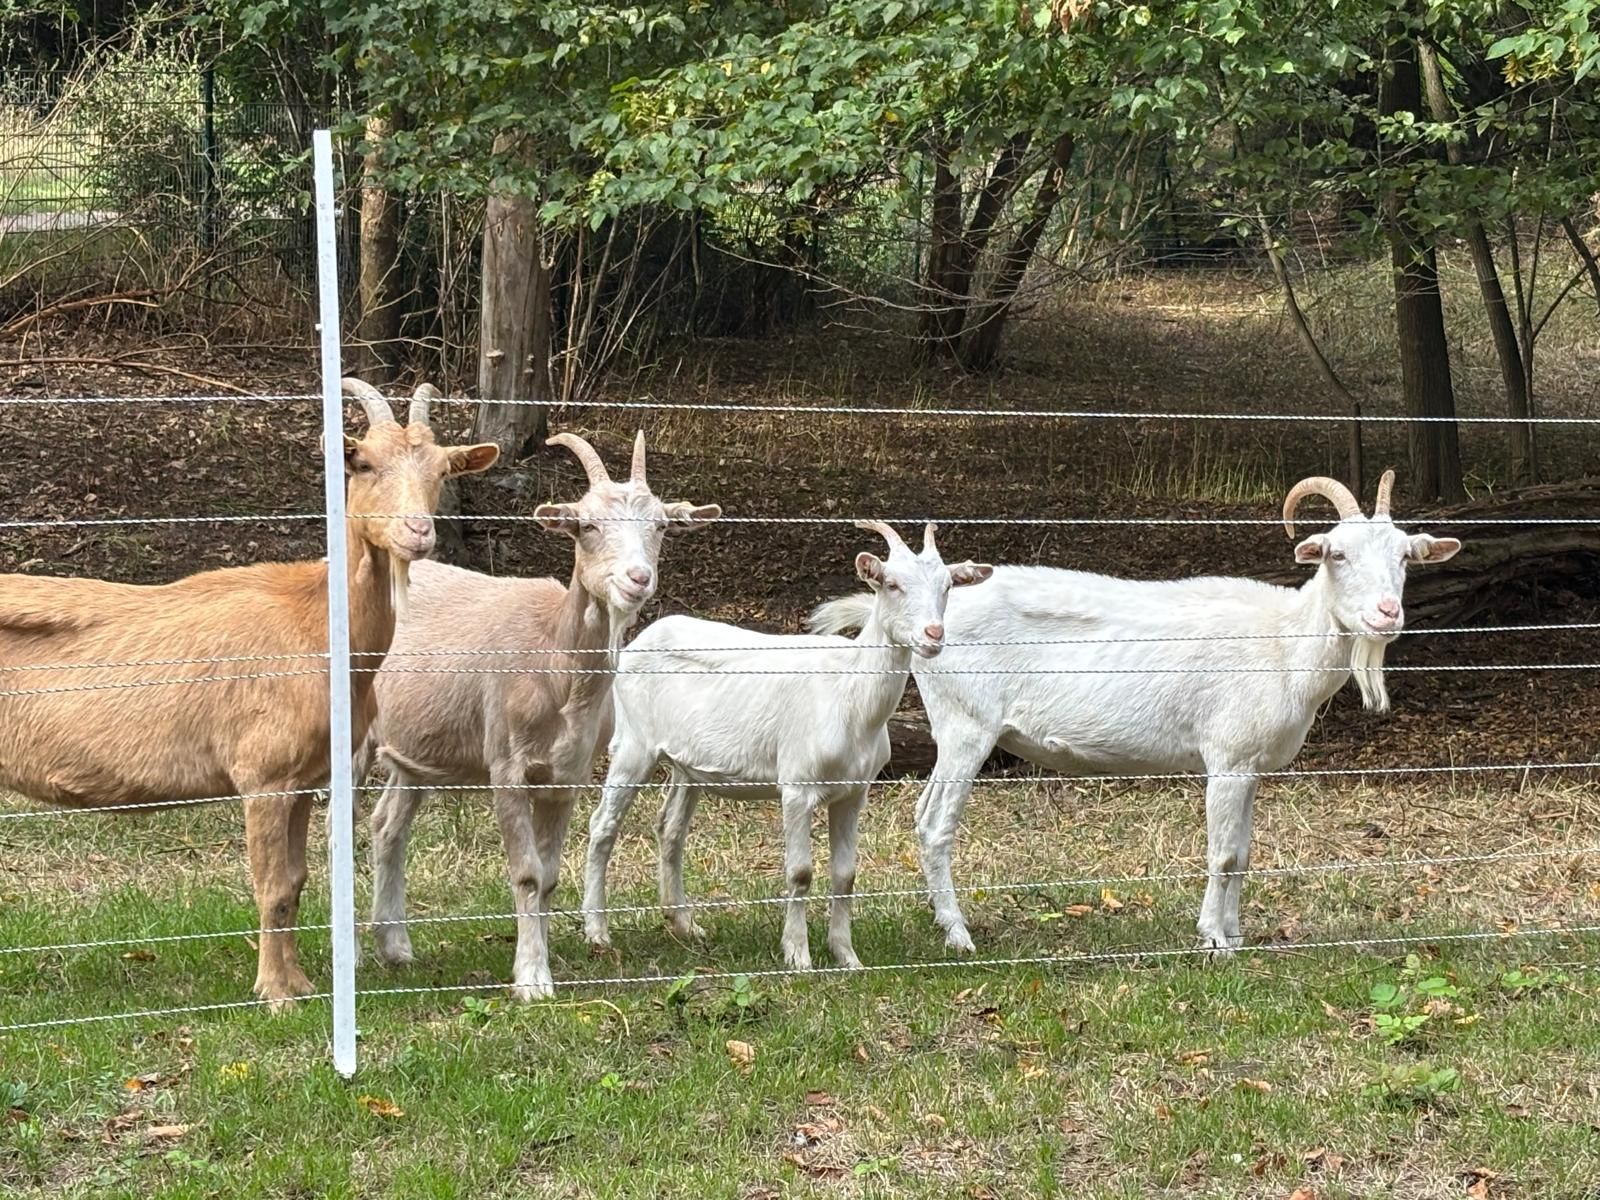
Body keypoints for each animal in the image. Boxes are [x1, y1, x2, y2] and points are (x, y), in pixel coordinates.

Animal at [0, 380, 497, 1006]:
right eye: (362, 462)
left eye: (441, 470)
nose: (418, 532)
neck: (316, 623)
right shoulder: (263, 774)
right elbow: (271, 885)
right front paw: (276, 993)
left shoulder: (307, 778)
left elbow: (297, 881)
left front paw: (300, 982)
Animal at [362, 431, 719, 1000]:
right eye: (587, 525)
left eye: (661, 525)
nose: (637, 578)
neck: (553, 657)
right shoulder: (507, 767)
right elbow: (527, 873)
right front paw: (530, 980)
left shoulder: (565, 777)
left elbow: (549, 876)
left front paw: (543, 964)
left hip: (415, 753)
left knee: (387, 826)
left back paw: (395, 947)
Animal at [583, 522, 992, 970]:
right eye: (891, 584)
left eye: (948, 586)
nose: (933, 635)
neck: (850, 693)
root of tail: (639, 639)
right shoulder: (797, 785)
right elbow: (800, 872)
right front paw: (798, 956)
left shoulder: (854, 792)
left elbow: (846, 874)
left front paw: (847, 956)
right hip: (633, 743)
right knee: (602, 826)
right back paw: (597, 932)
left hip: (686, 765)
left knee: (670, 828)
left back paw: (685, 925)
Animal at [813, 472, 1461, 956]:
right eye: (1336, 554)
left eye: (1406, 556)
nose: (1387, 613)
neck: (1282, 641)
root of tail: (927, 615)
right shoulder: (1225, 758)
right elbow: (1222, 852)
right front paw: (1213, 941)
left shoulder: (1249, 766)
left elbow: (1243, 853)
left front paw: (1237, 935)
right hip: (965, 726)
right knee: (934, 822)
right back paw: (957, 934)